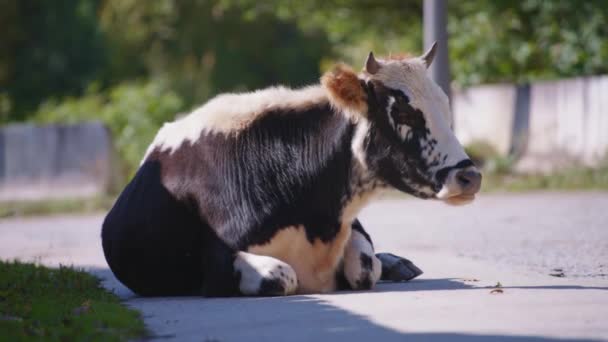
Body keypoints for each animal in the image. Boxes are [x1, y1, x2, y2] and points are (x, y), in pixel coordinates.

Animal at [101, 43, 480, 296]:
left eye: (445, 106)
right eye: (402, 112)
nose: (470, 176)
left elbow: (364, 267)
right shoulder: (215, 262)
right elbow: (282, 276)